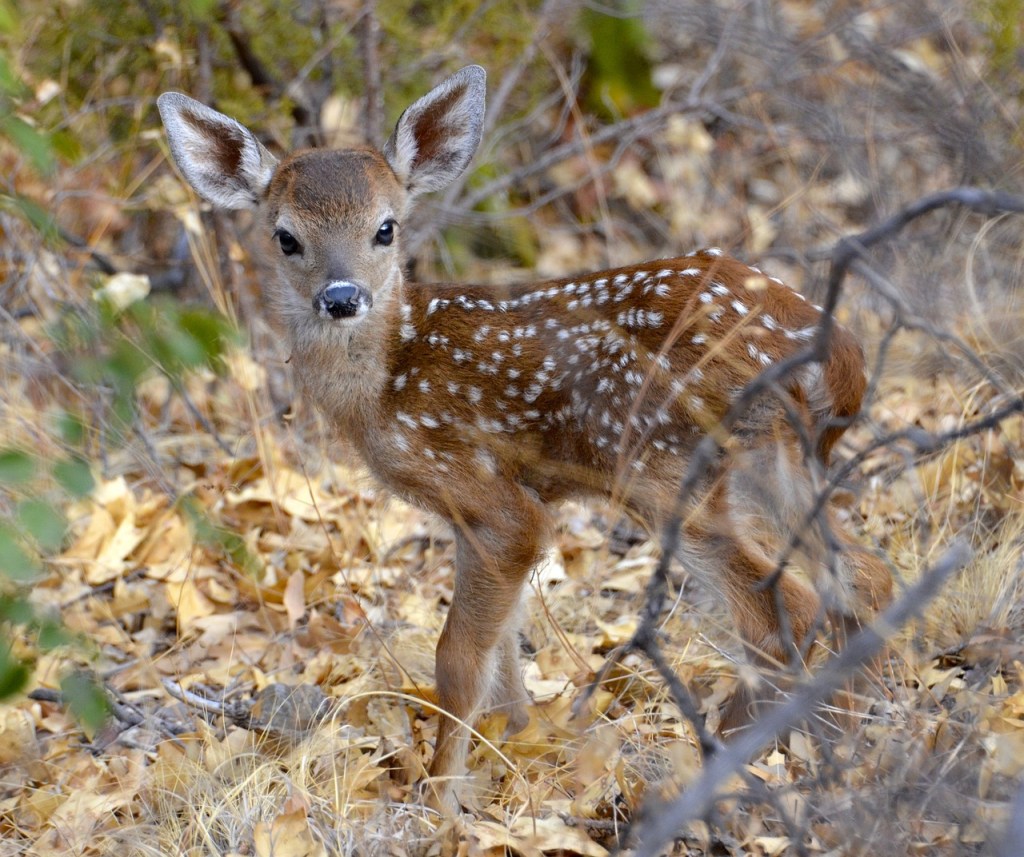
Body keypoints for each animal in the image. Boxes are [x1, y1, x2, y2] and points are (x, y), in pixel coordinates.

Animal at [158, 65, 892, 812]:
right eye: (285, 236)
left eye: (385, 228)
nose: (341, 297)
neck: (389, 379)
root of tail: (837, 353)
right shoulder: (481, 512)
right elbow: (506, 652)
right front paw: (518, 748)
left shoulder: (490, 495)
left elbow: (456, 658)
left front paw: (441, 801)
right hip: (779, 461)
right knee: (862, 573)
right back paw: (851, 728)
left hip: (663, 463)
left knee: (782, 608)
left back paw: (717, 763)